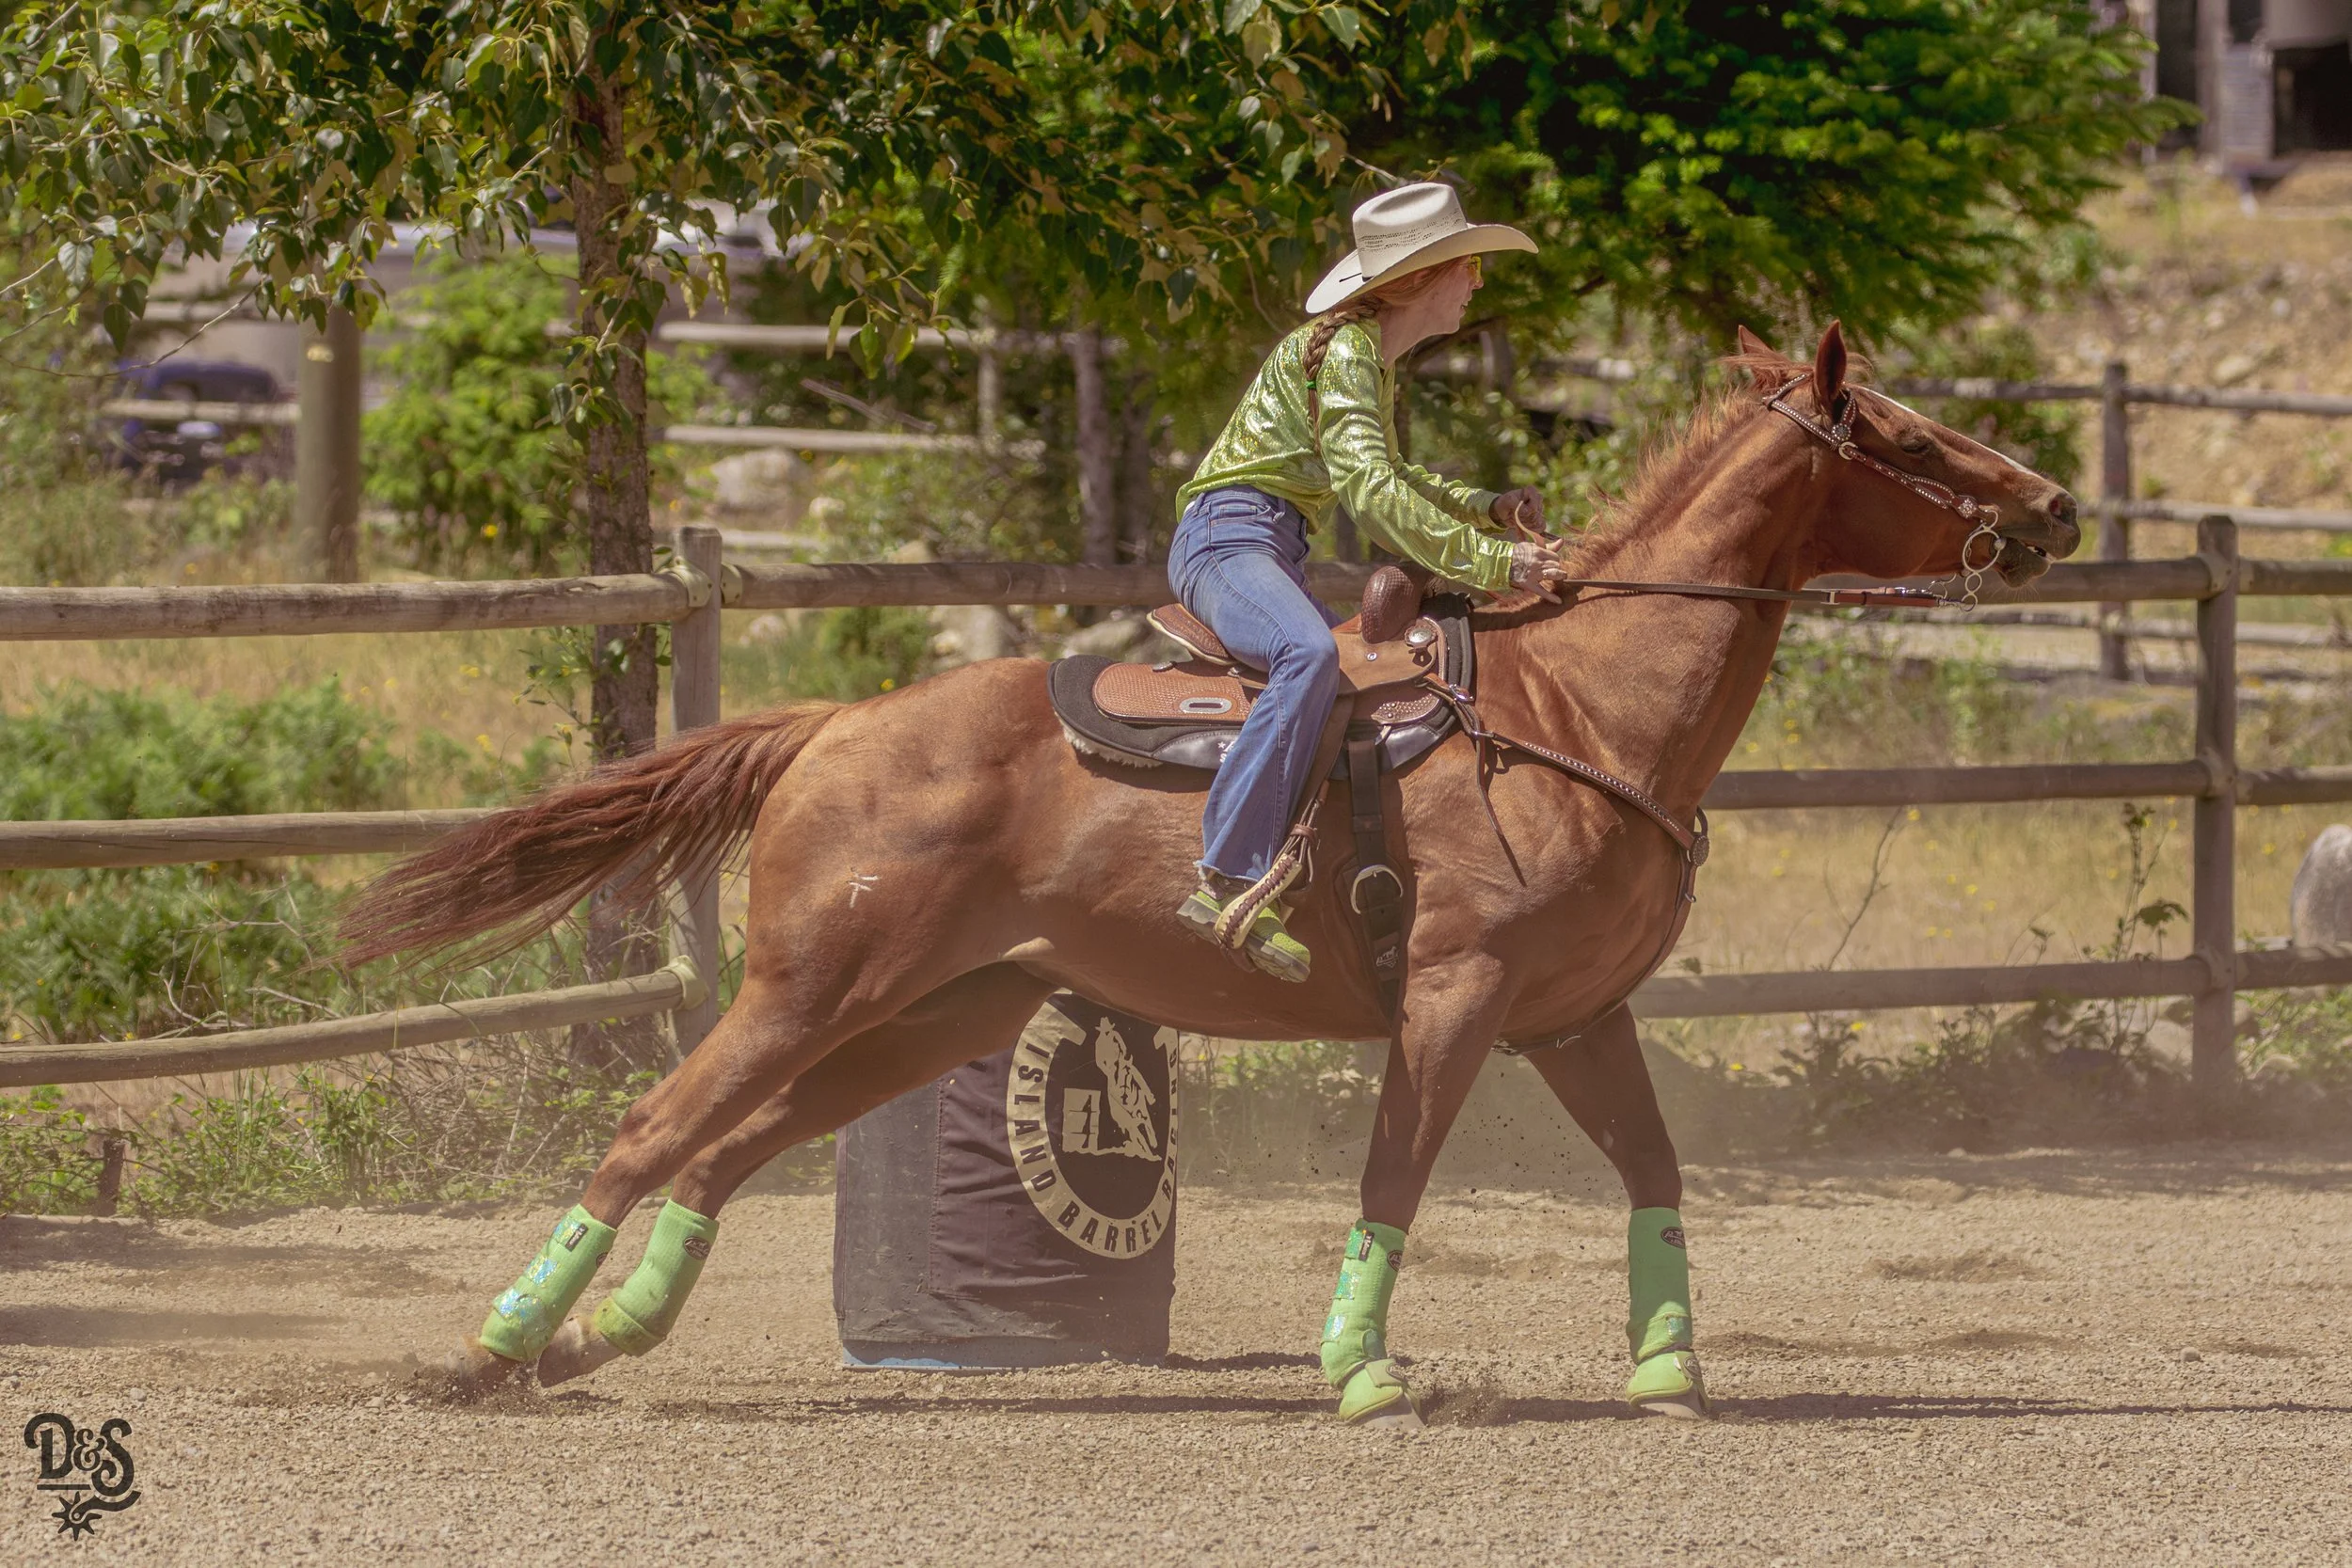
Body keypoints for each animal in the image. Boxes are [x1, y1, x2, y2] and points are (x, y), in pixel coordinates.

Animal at [342, 323, 2080, 1422]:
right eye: (1905, 432)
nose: (2056, 503)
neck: (1581, 706)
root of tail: (833, 723)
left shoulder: (1579, 1014)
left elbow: (1655, 1172)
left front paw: (1668, 1372)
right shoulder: (1455, 997)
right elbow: (1392, 1181)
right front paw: (1365, 1371)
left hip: (942, 1009)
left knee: (726, 1151)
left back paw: (604, 1334)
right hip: (805, 988)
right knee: (652, 1130)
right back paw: (489, 1349)